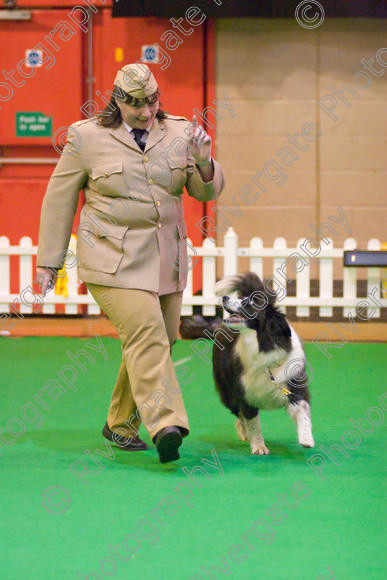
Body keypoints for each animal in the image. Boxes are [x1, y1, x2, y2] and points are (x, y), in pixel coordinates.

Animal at [212, 274, 316, 456]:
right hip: (227, 393)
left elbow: (303, 413)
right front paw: (259, 446)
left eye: (249, 302)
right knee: (237, 413)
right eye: (242, 298)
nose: (224, 297)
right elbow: (253, 424)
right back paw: (243, 432)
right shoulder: (245, 394)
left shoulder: (294, 387)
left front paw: (306, 439)